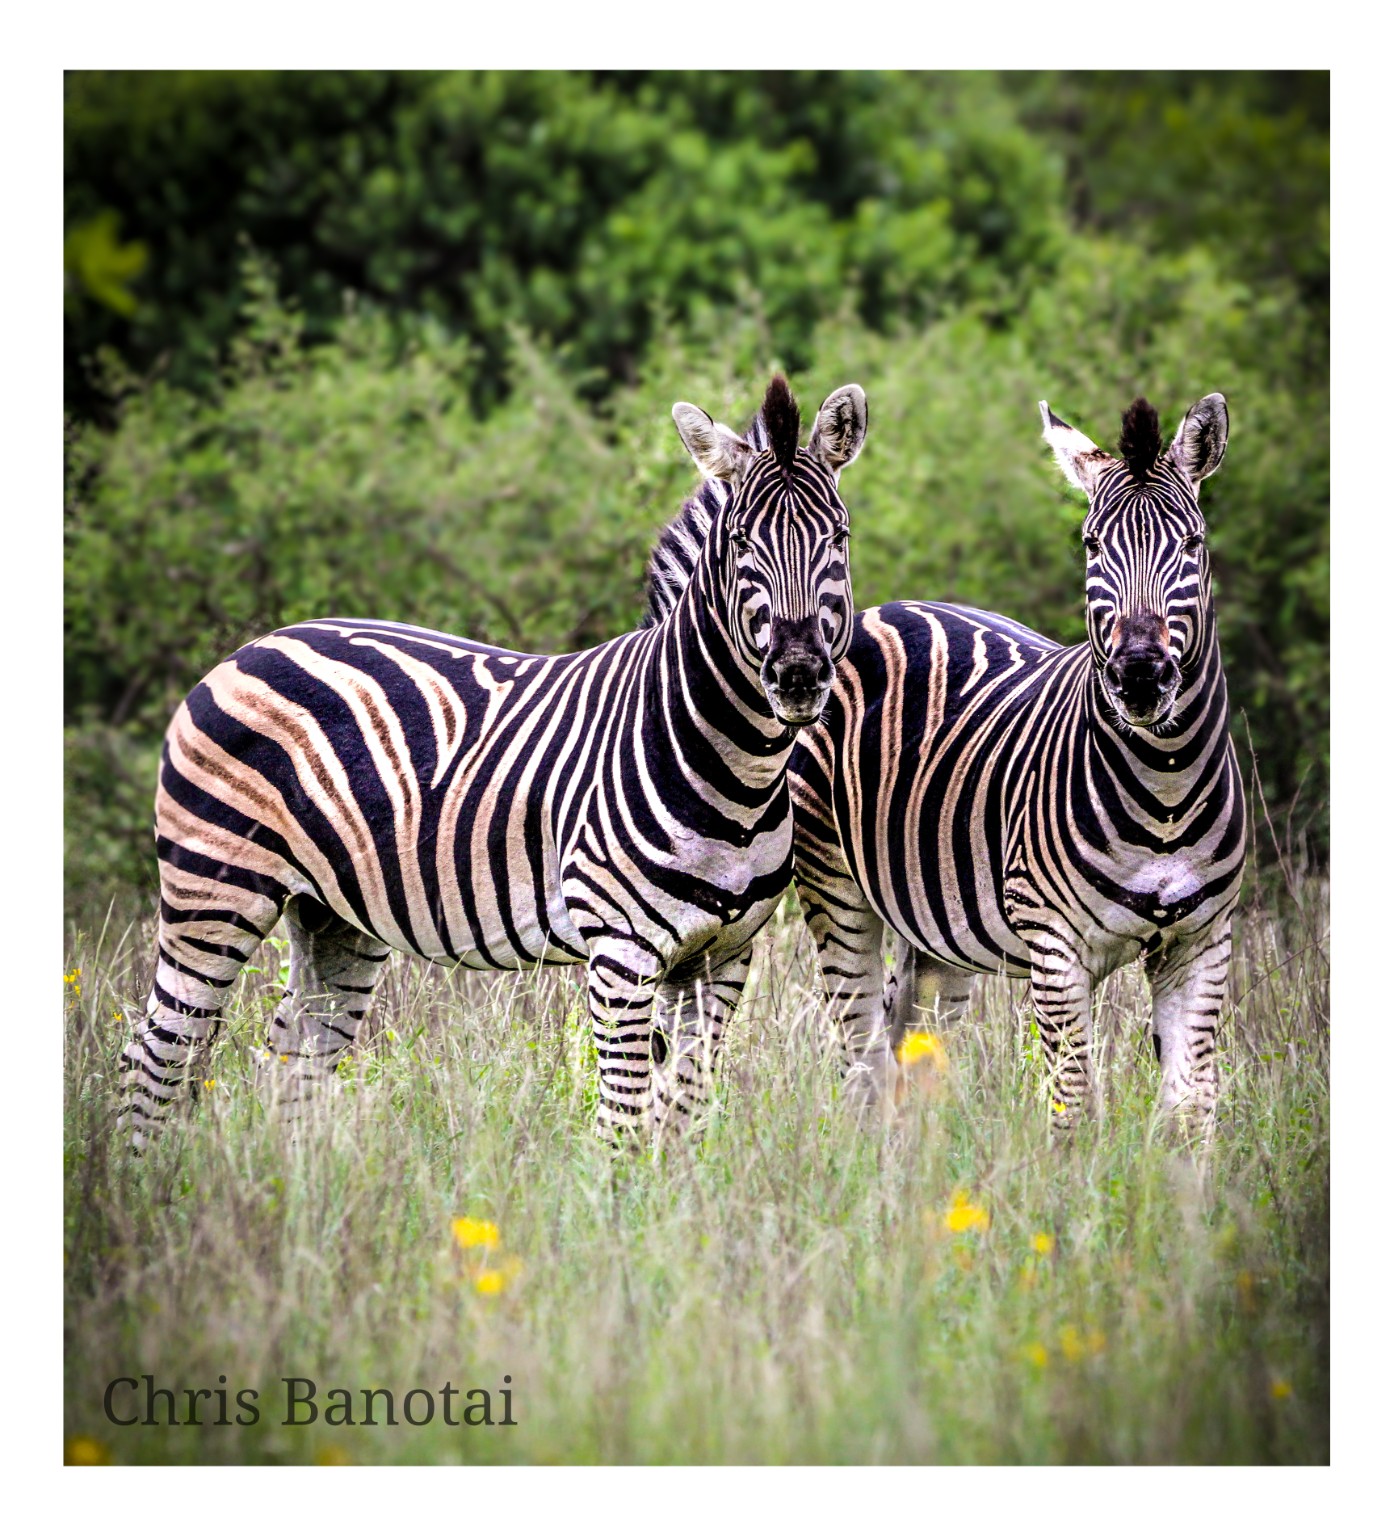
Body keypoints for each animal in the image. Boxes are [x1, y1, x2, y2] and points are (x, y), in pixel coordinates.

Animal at [118, 374, 869, 1149]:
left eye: (838, 539)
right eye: (741, 543)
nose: (799, 676)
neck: (733, 770)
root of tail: (248, 649)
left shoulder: (722, 956)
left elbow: (682, 1114)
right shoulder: (620, 953)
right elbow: (623, 1123)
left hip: (332, 915)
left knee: (292, 1059)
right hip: (213, 890)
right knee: (156, 1051)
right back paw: (151, 1174)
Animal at [643, 393, 1245, 1130]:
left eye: (1193, 545)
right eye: (1092, 545)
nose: (1138, 677)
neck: (1164, 789)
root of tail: (888, 607)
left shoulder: (1203, 944)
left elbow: (1193, 1109)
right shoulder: (1055, 946)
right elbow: (1073, 1099)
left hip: (938, 925)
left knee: (912, 1053)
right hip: (837, 887)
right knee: (864, 1057)